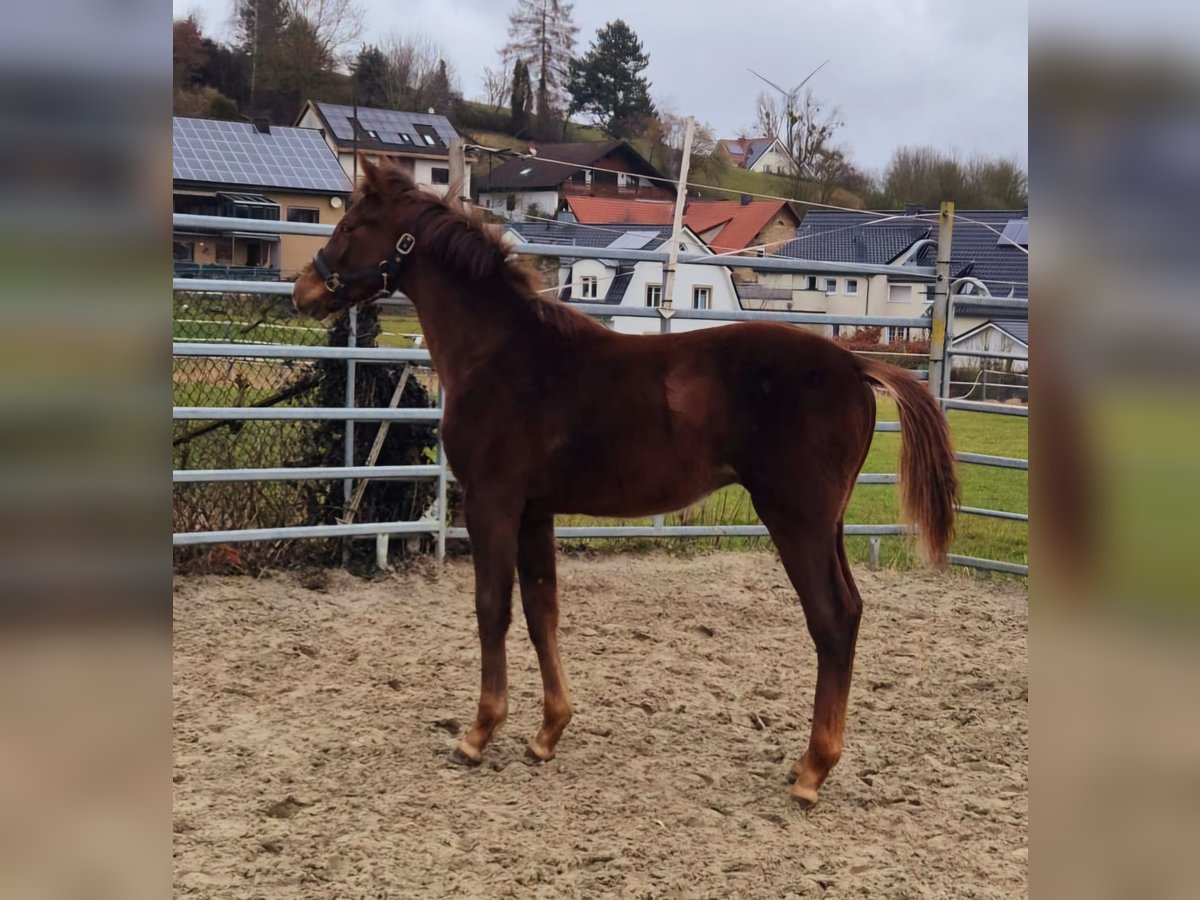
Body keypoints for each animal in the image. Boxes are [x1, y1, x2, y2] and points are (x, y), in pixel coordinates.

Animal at [292, 158, 955, 806]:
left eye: (352, 227)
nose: (303, 290)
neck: (501, 353)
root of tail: (856, 364)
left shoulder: (492, 501)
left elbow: (492, 607)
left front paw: (478, 734)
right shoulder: (534, 510)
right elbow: (541, 608)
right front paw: (547, 733)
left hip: (797, 520)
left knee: (832, 619)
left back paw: (812, 773)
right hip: (828, 523)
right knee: (852, 610)